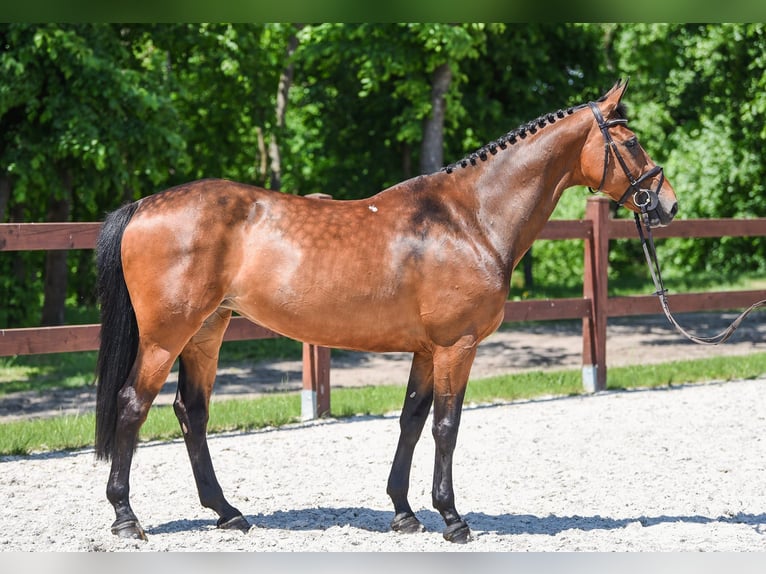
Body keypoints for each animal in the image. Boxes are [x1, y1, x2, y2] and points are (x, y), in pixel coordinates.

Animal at [94, 80, 680, 544]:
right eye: (631, 141)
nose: (667, 203)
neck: (468, 218)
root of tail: (143, 206)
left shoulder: (425, 350)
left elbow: (411, 421)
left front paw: (404, 512)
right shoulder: (456, 347)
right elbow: (446, 426)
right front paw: (452, 518)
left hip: (206, 333)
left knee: (191, 413)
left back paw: (227, 513)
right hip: (166, 337)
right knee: (132, 404)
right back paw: (126, 517)